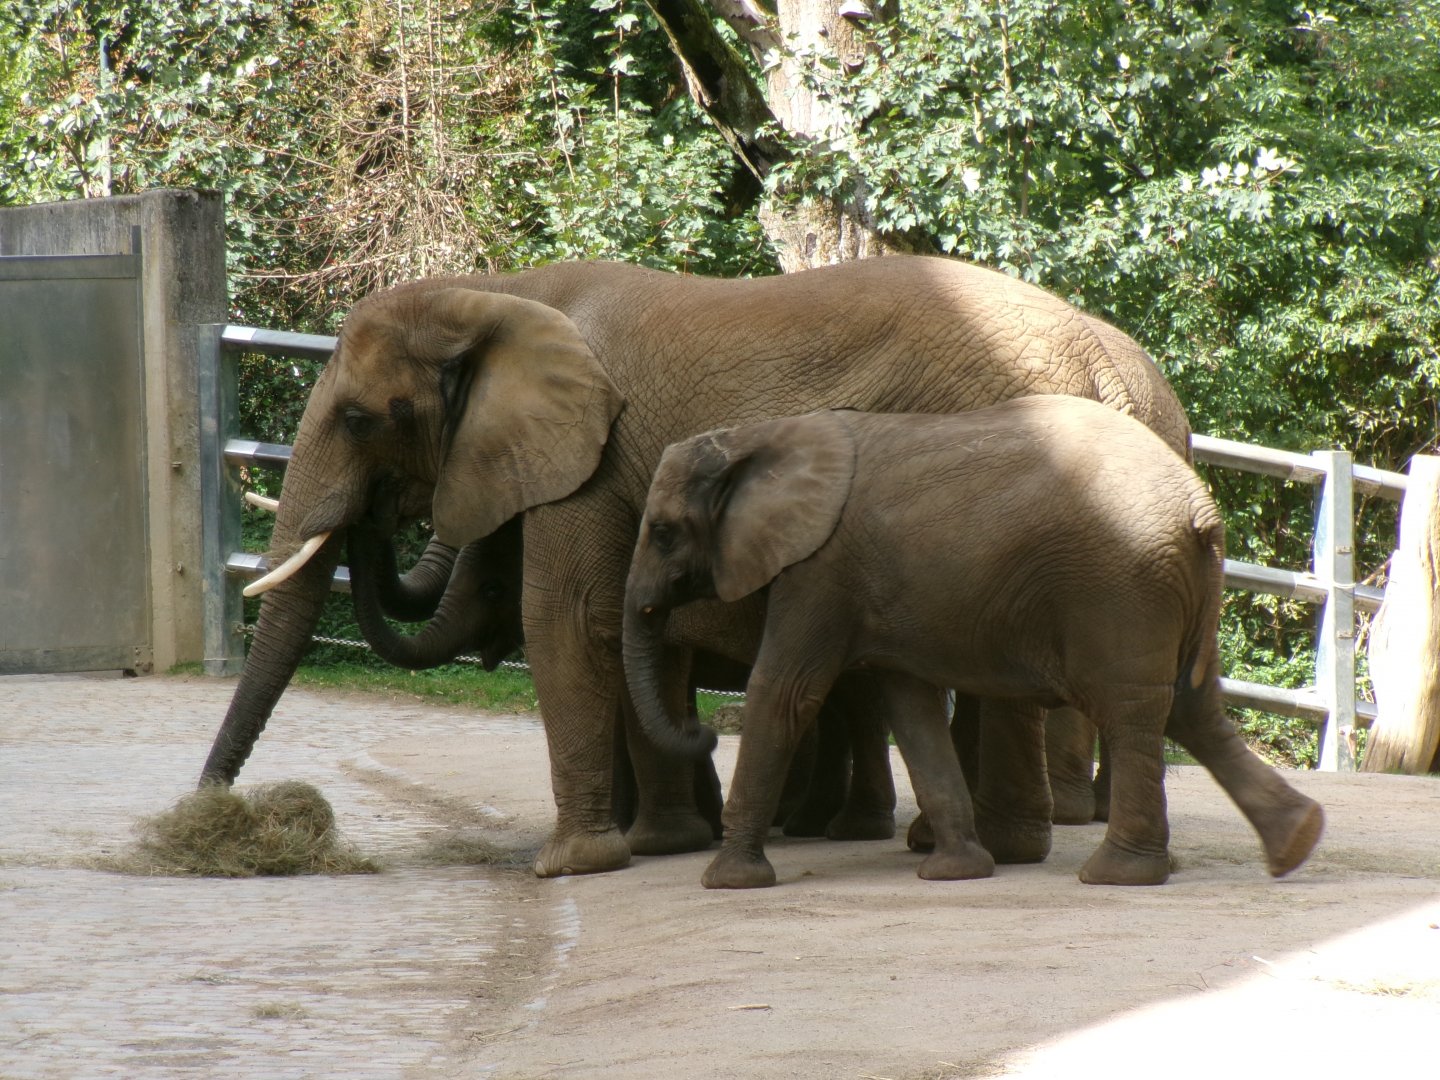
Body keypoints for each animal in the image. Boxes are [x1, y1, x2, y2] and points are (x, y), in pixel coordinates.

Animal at [199, 255, 1192, 878]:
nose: (204, 810)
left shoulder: (594, 459)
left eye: (360, 419)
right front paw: (654, 845)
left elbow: (571, 619)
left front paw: (574, 866)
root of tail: (1109, 368)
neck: (492, 292)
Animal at [622, 399, 1325, 889]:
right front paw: (955, 871)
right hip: (1165, 585)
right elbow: (910, 707)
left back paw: (1115, 877)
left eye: (661, 532)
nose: (704, 727)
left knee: (1132, 710)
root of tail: (1201, 509)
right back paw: (1295, 844)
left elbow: (784, 692)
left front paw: (724, 883)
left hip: (1121, 584)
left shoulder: (819, 569)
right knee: (1194, 708)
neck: (756, 436)